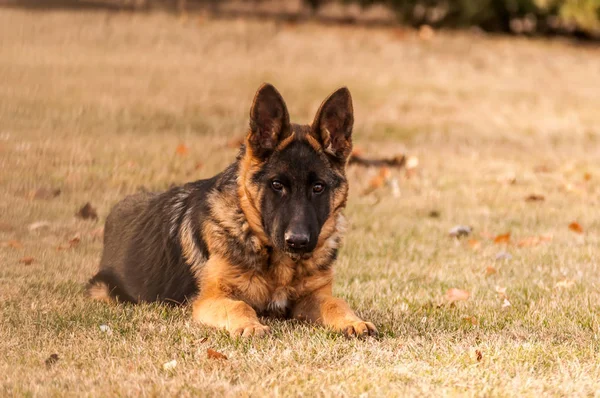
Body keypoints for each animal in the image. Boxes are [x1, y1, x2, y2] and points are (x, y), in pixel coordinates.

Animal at [86, 84, 378, 338]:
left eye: (318, 187)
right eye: (277, 185)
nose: (297, 241)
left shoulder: (314, 296)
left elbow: (336, 302)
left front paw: (353, 321)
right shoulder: (211, 299)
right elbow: (241, 305)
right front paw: (250, 325)